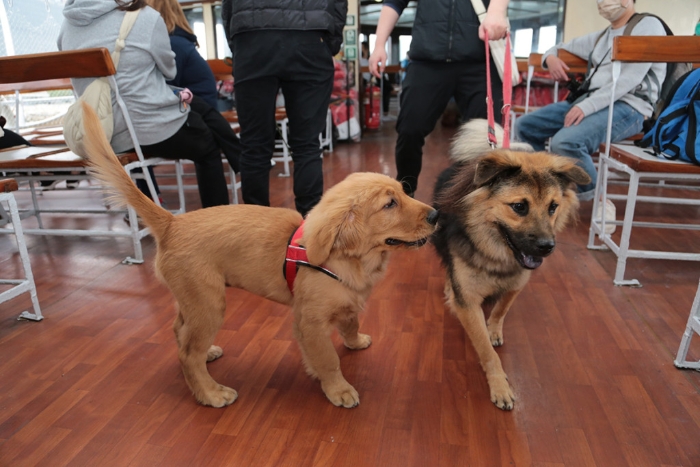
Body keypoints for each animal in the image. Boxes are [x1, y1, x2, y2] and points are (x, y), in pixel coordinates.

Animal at [80, 102, 438, 410]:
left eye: (404, 192)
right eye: (389, 204)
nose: (437, 215)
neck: (351, 260)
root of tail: (172, 222)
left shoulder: (348, 302)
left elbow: (351, 323)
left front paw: (355, 341)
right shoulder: (309, 322)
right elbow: (328, 360)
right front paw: (338, 389)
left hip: (193, 301)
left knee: (180, 332)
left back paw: (207, 355)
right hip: (210, 304)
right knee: (186, 354)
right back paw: (210, 393)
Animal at [432, 119, 592, 410]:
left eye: (553, 207)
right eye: (519, 206)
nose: (547, 247)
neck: (496, 254)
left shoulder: (518, 282)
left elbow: (502, 308)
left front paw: (494, 329)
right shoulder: (468, 302)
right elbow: (486, 349)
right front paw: (499, 385)